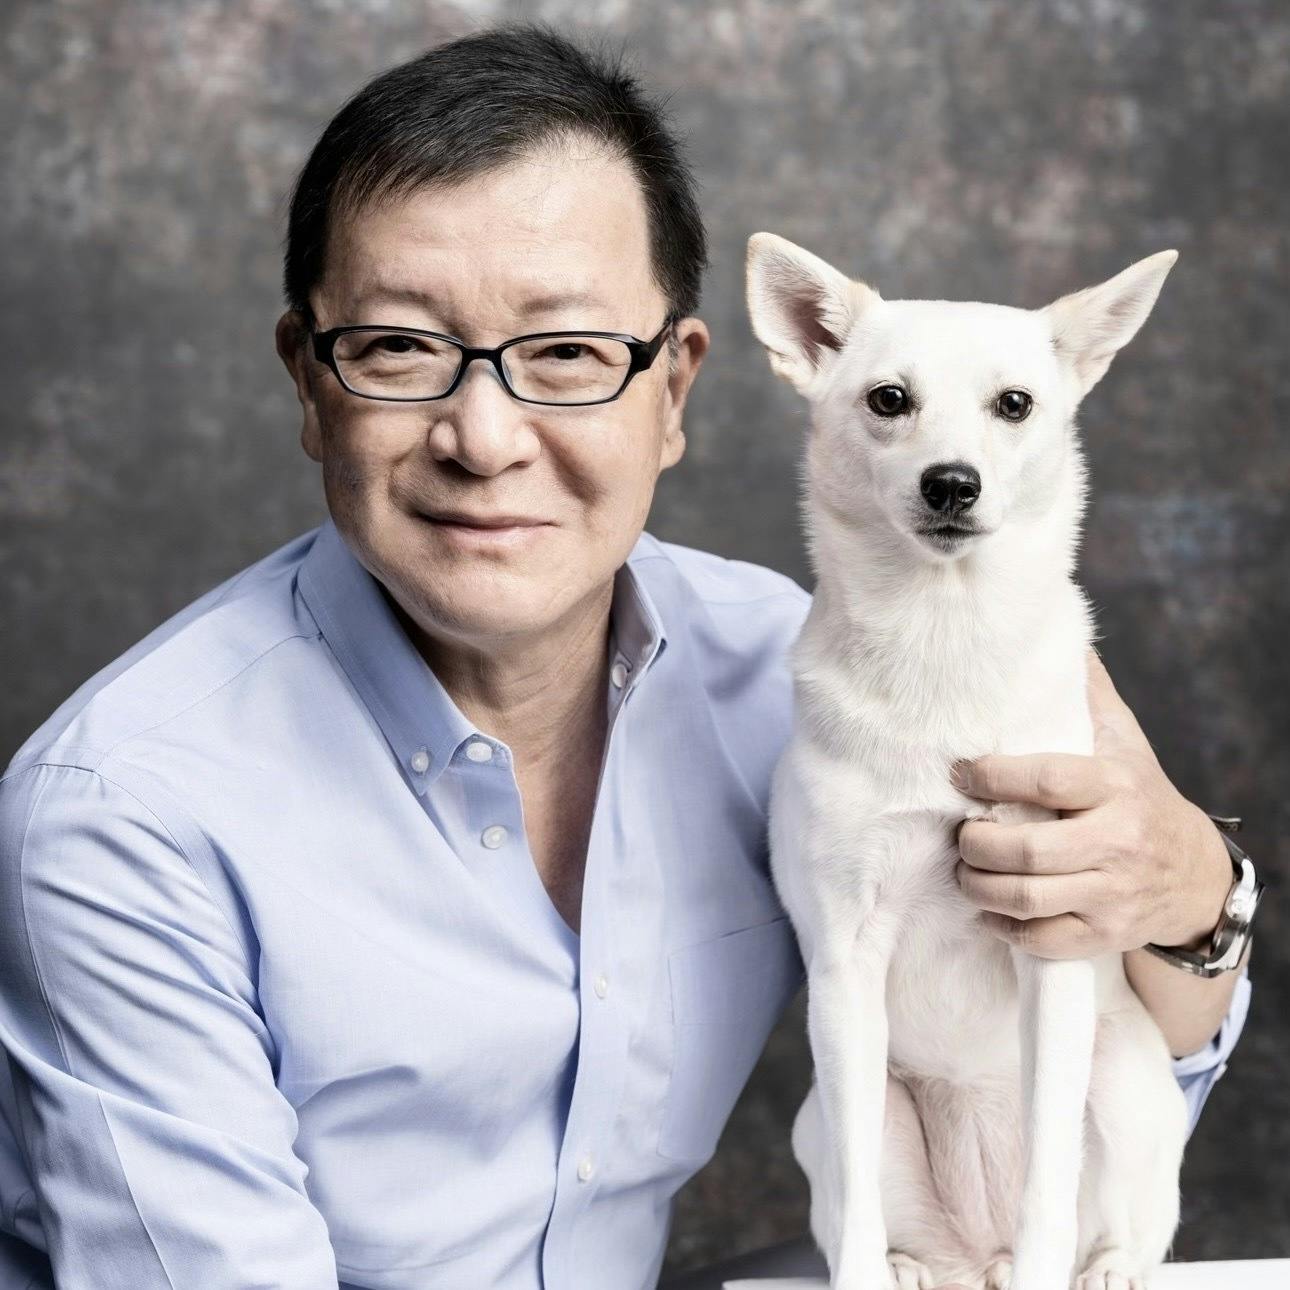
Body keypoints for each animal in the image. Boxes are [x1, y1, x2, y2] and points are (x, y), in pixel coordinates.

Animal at [745, 233, 1189, 1290]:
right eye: (887, 399)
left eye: (1014, 404)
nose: (952, 483)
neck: (942, 635)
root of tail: (972, 1253)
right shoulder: (845, 967)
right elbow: (856, 1212)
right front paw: (867, 1274)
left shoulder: (1054, 949)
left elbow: (1047, 1184)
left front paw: (1052, 1264)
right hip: (836, 1108)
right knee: (865, 1195)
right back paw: (914, 1265)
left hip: (1128, 1078)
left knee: (1120, 1215)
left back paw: (1105, 1267)